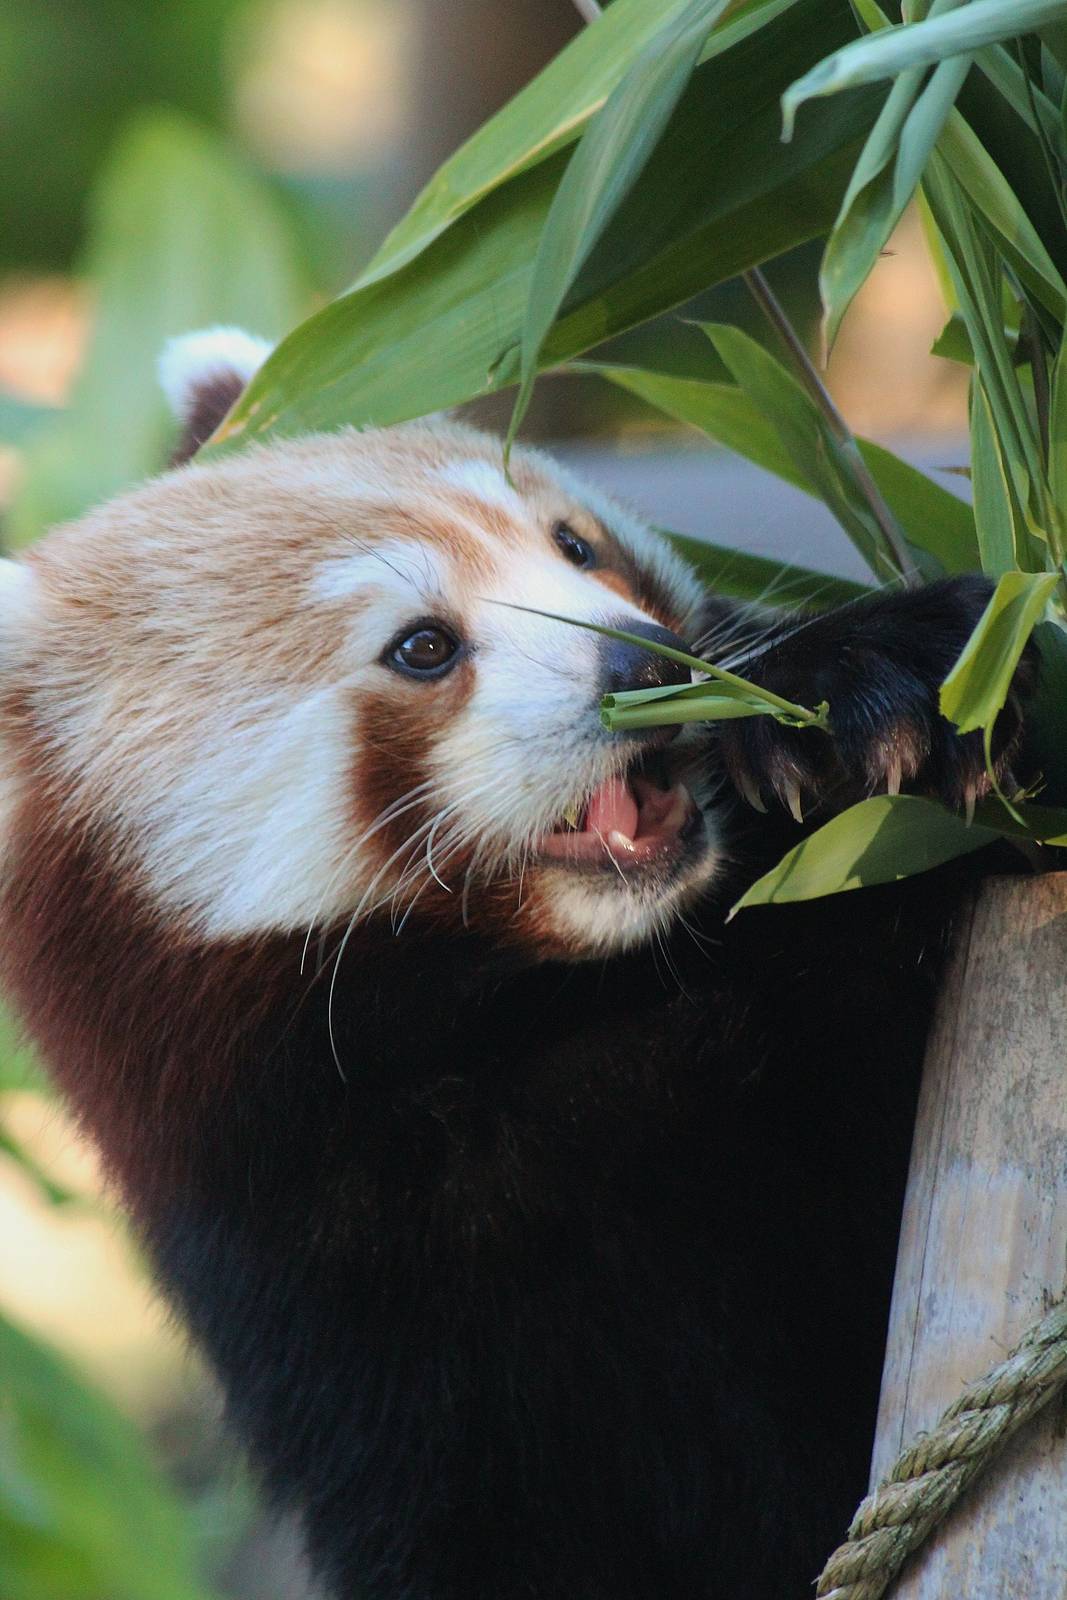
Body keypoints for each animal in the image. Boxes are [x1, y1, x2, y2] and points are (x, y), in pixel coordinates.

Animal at [0, 328, 1030, 1600]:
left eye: (573, 545)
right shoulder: (364, 1334)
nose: (646, 665)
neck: (556, 1011)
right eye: (423, 647)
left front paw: (865, 682)